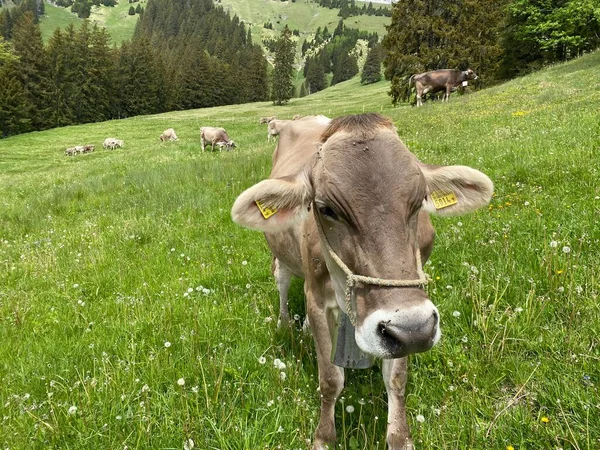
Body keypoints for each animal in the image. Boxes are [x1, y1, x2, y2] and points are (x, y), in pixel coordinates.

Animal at [232, 113, 494, 450]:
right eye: (327, 208)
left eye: (419, 201)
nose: (415, 330)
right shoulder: (318, 300)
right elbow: (330, 379)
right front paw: (323, 437)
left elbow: (396, 379)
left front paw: (400, 437)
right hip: (281, 259)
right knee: (283, 282)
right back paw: (285, 323)